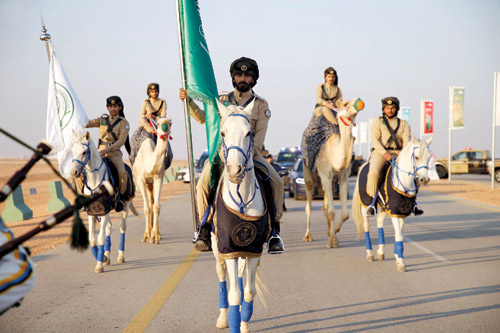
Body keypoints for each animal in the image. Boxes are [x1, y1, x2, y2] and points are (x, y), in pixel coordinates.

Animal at [69, 130, 137, 272]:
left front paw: (99, 265)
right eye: (72, 150)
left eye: (84, 152)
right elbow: (92, 239)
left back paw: (120, 256)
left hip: (125, 206)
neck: (95, 181)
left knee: (122, 227)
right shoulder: (93, 213)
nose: (74, 172)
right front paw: (103, 258)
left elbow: (100, 238)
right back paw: (106, 254)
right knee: (109, 229)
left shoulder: (104, 212)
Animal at [210, 100, 270, 332]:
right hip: (217, 248)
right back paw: (222, 317)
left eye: (248, 132)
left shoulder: (253, 250)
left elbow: (248, 292)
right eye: (223, 133)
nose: (235, 170)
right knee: (221, 277)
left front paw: (244, 325)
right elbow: (234, 294)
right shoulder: (228, 249)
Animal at [302, 97, 366, 248]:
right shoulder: (325, 175)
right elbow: (331, 212)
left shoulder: (343, 178)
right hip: (308, 173)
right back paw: (308, 236)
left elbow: (345, 214)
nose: (359, 101)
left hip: (328, 181)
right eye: (345, 104)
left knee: (324, 206)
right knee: (309, 206)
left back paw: (328, 231)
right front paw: (331, 242)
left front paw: (334, 234)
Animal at [352, 136, 434, 272]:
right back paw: (369, 254)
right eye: (416, 157)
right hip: (365, 208)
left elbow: (398, 234)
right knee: (366, 227)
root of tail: (363, 165)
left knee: (380, 226)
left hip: (383, 209)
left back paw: (380, 252)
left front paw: (397, 257)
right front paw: (401, 263)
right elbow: (399, 236)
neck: (404, 183)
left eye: (428, 158)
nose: (424, 180)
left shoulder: (402, 212)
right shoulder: (395, 212)